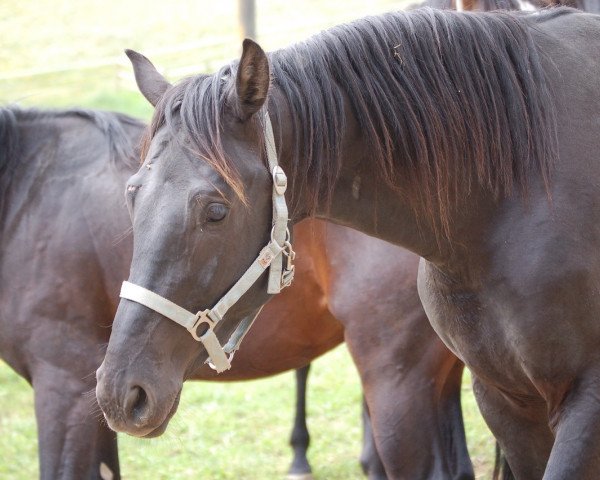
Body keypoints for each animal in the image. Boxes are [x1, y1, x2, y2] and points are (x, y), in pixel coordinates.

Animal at [0, 109, 468, 480]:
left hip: (397, 373)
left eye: (216, 212)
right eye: (130, 199)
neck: (26, 194)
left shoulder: (64, 389)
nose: (122, 390)